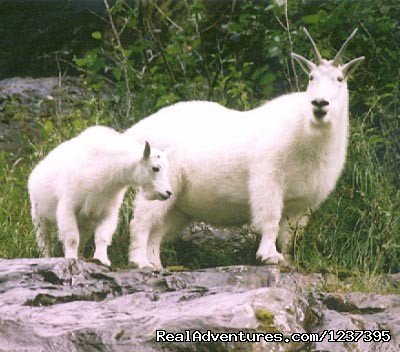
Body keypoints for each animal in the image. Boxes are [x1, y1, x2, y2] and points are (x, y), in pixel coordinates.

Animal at [126, 28, 366, 270]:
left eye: (339, 78)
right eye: (311, 77)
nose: (319, 103)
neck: (306, 132)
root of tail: (137, 130)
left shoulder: (302, 203)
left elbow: (290, 235)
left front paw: (288, 262)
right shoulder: (267, 180)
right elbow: (270, 220)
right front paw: (269, 256)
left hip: (176, 204)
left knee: (157, 231)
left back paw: (156, 265)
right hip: (158, 184)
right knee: (140, 223)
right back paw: (140, 263)